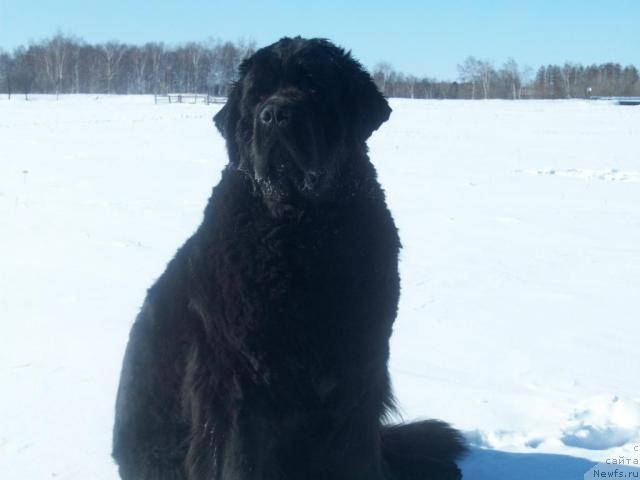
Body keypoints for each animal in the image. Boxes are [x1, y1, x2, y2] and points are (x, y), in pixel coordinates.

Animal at [114, 35, 464, 478]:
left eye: (314, 87)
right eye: (258, 96)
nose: (276, 114)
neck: (303, 233)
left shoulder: (358, 364)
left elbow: (356, 453)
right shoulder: (238, 378)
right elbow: (238, 460)